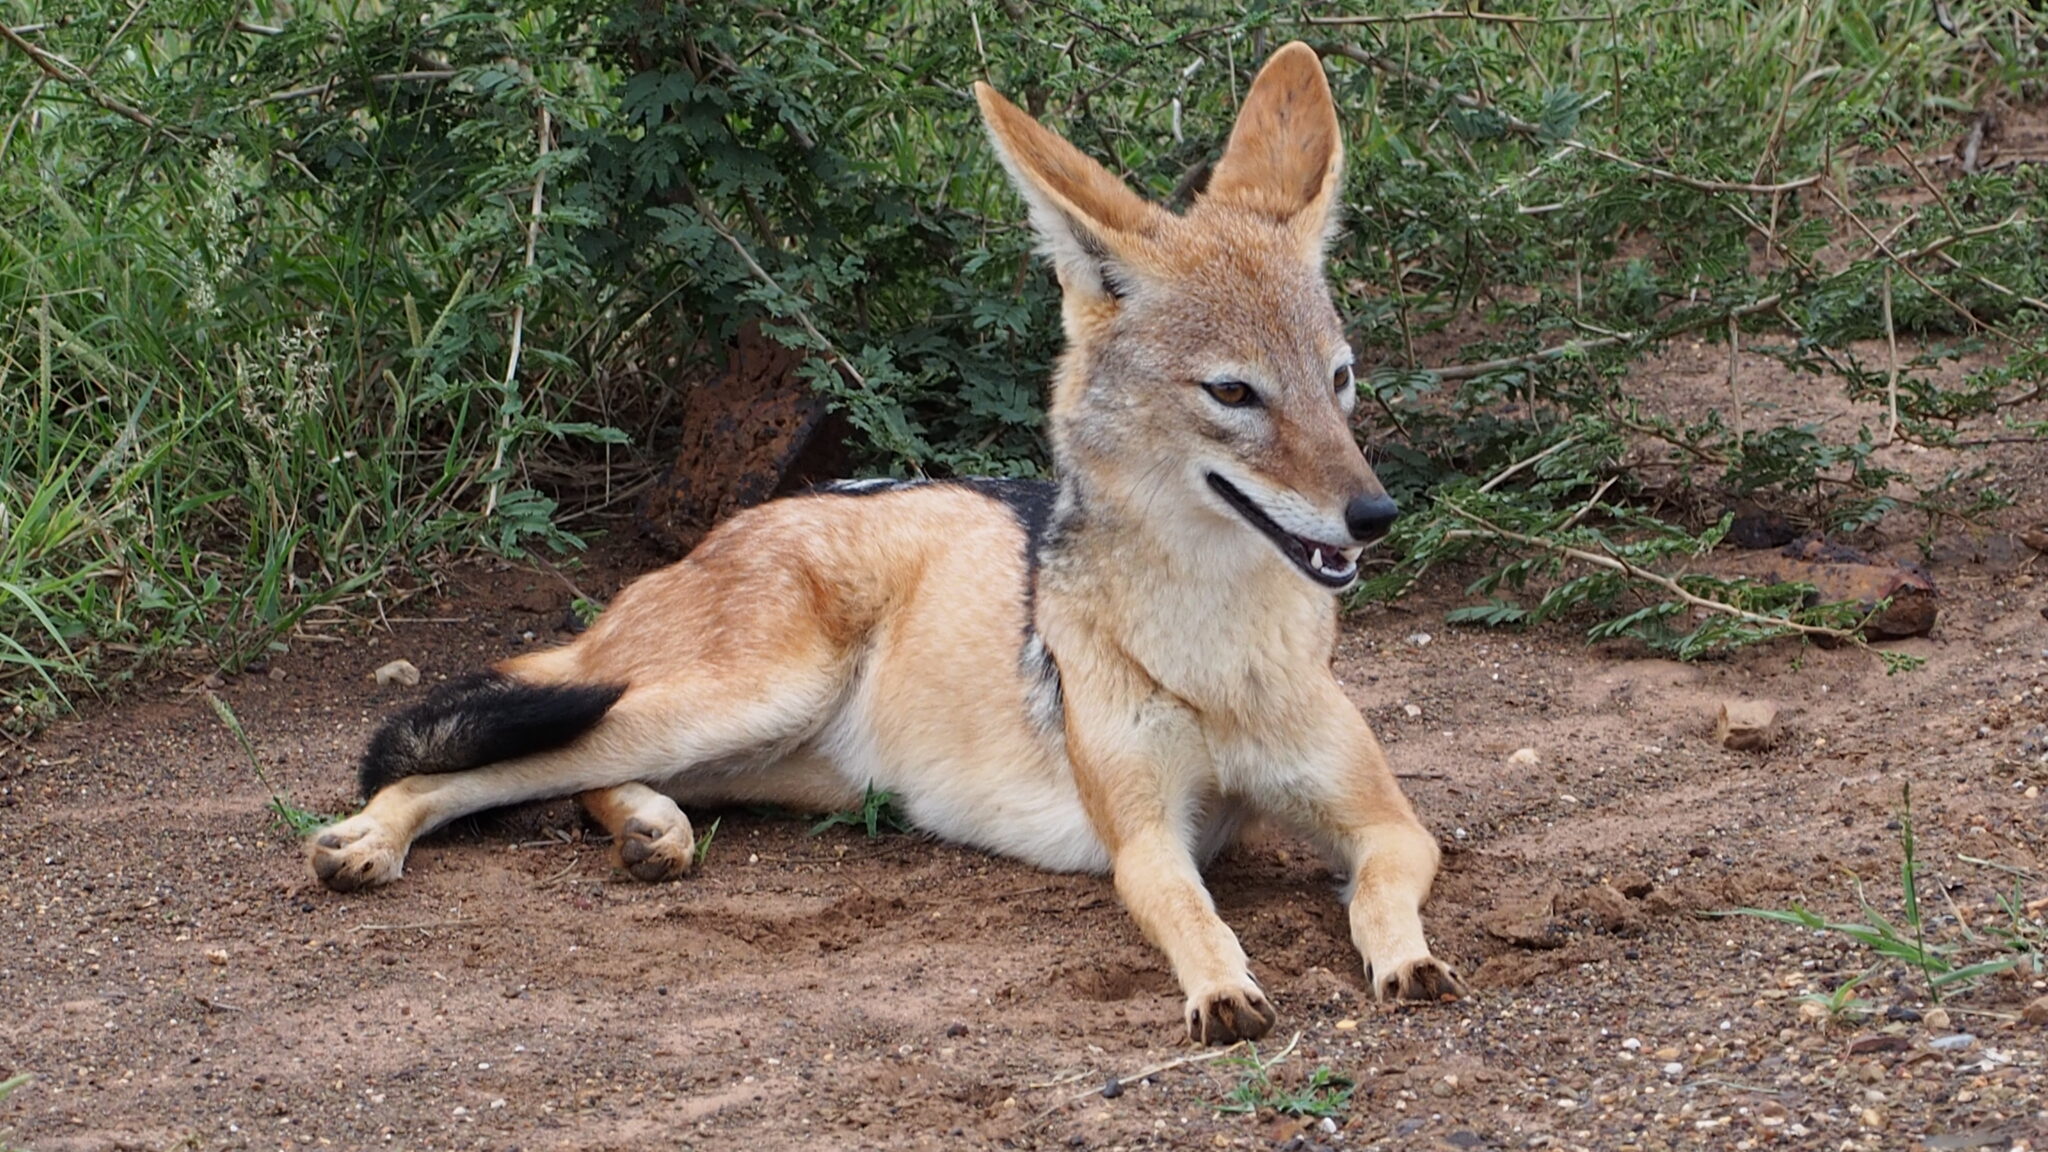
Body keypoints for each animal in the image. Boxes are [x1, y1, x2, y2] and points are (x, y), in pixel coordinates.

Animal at [307, 41, 1463, 1043]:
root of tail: (712, 540)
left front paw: (1408, 961)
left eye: (1339, 380)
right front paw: (1221, 989)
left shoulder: (1385, 825)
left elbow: (1383, 893)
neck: (1219, 657)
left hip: (757, 754)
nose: (1374, 516)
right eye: (1233, 394)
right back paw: (372, 841)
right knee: (462, 764)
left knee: (571, 779)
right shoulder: (1145, 841)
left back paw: (651, 833)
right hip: (735, 703)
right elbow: (1192, 916)